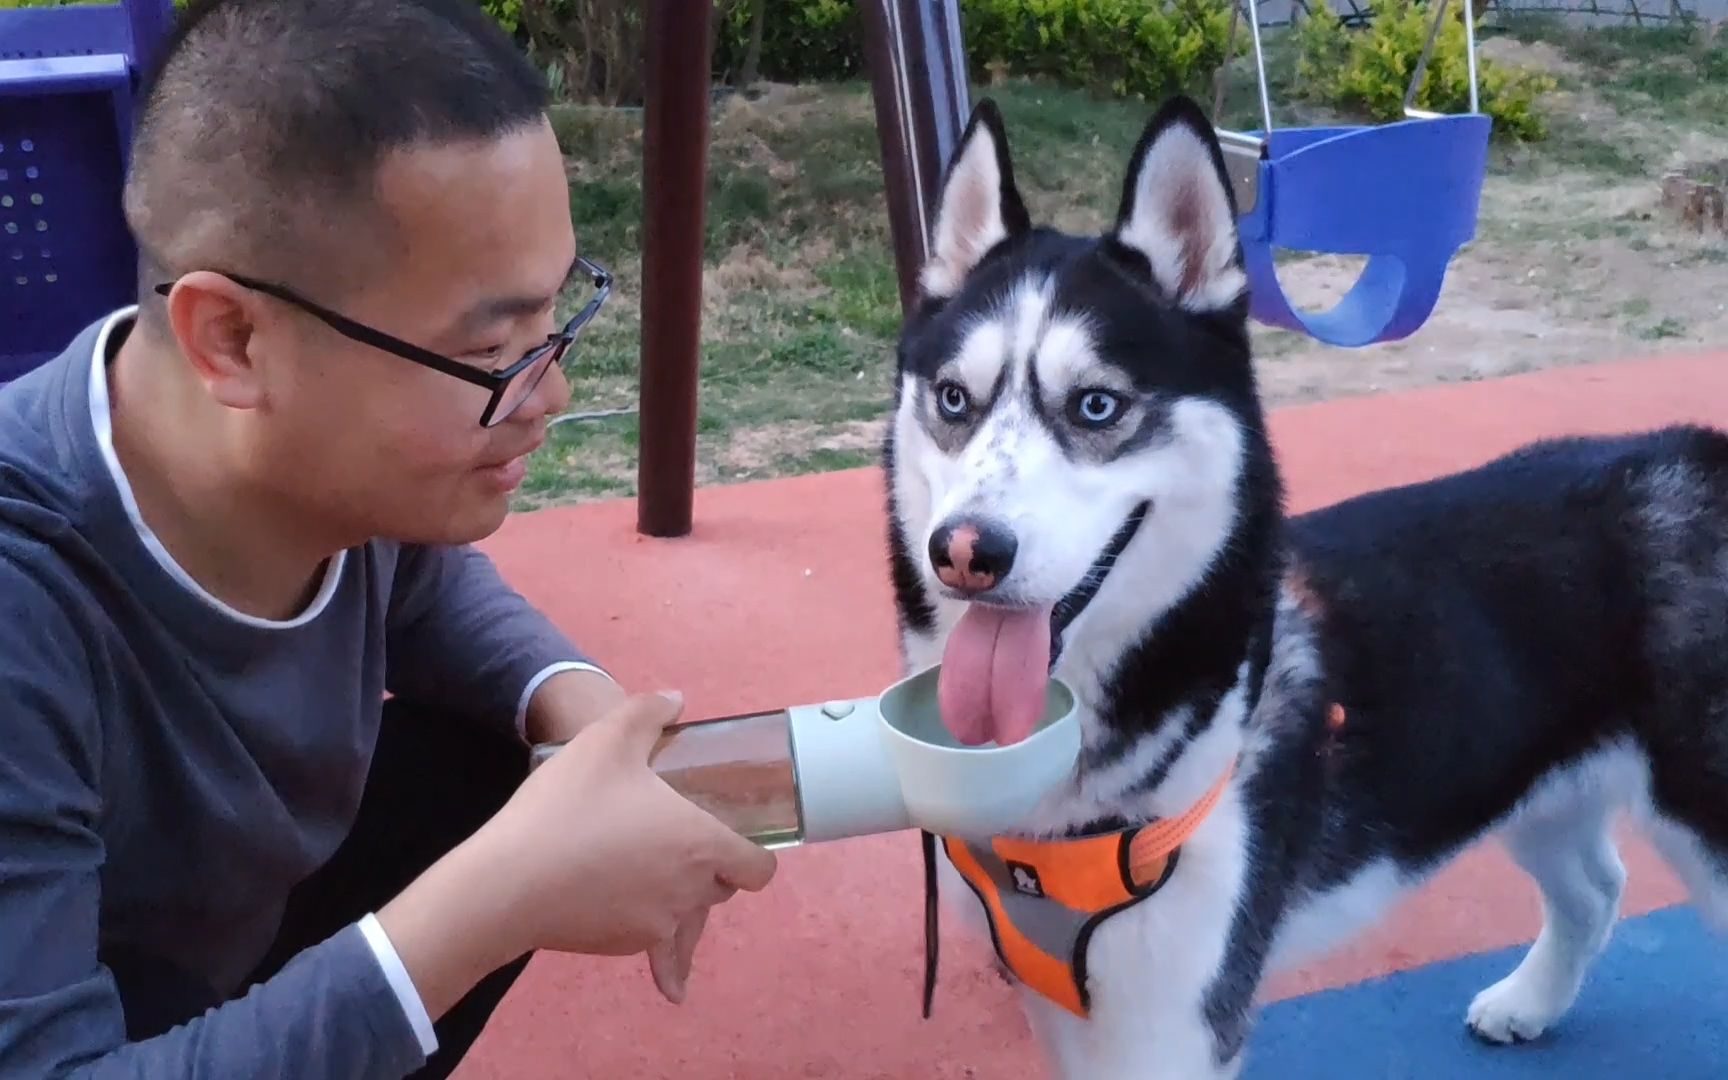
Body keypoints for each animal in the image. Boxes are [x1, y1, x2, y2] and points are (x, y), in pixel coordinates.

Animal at [884, 94, 1728, 1078]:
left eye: (1097, 405)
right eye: (953, 398)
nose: (964, 551)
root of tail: (1699, 451)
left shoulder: (1172, 1023)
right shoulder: (1066, 1001)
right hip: (1530, 779)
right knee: (1597, 885)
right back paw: (1529, 1003)